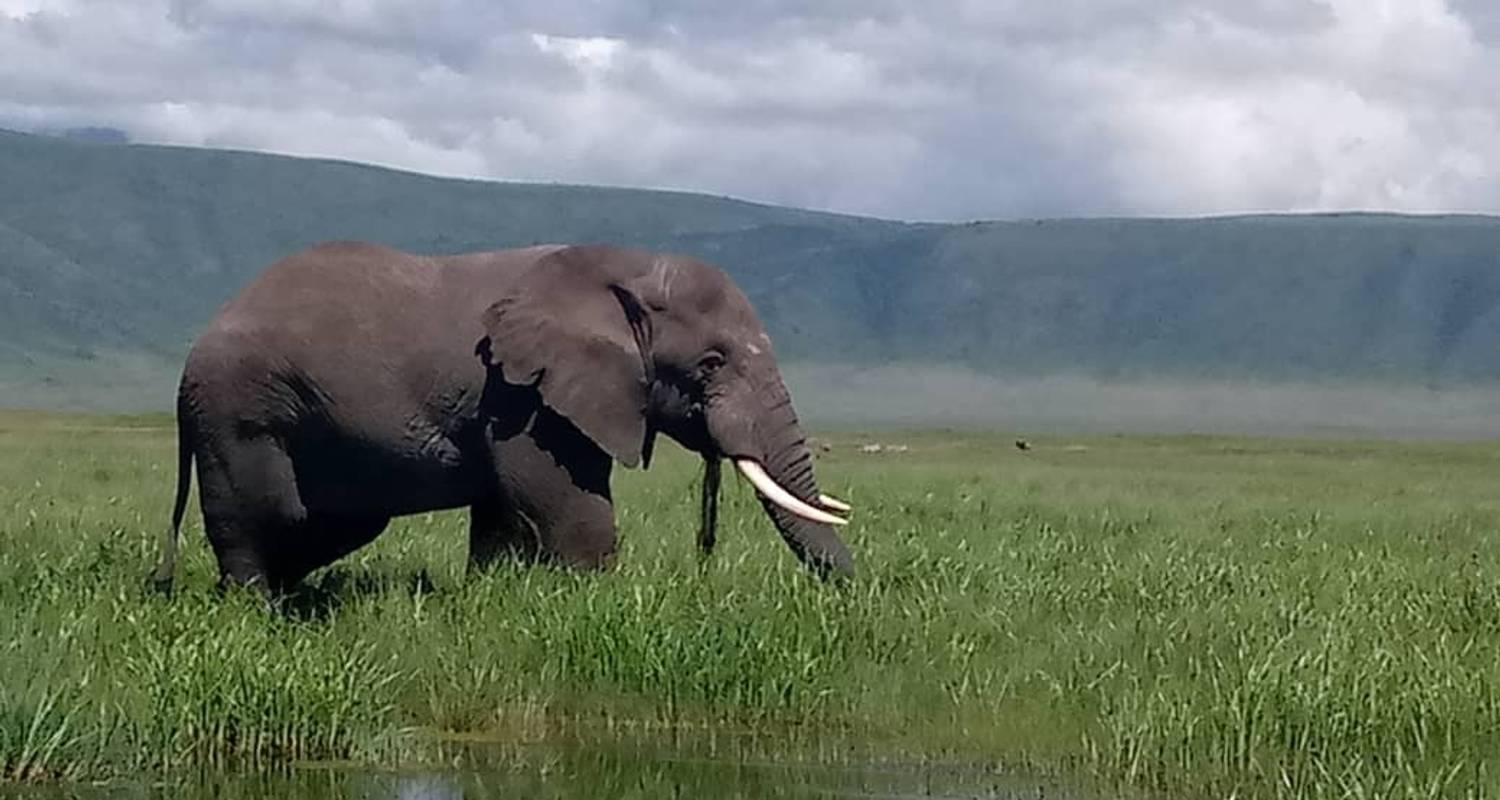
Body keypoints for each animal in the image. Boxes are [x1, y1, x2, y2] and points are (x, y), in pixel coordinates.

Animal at [152, 243, 858, 591]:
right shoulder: (522, 396)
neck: (619, 267)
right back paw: (256, 608)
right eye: (711, 364)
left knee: (330, 523)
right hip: (239, 412)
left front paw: (493, 598)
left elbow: (500, 509)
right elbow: (562, 503)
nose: (849, 597)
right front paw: (594, 603)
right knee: (261, 515)